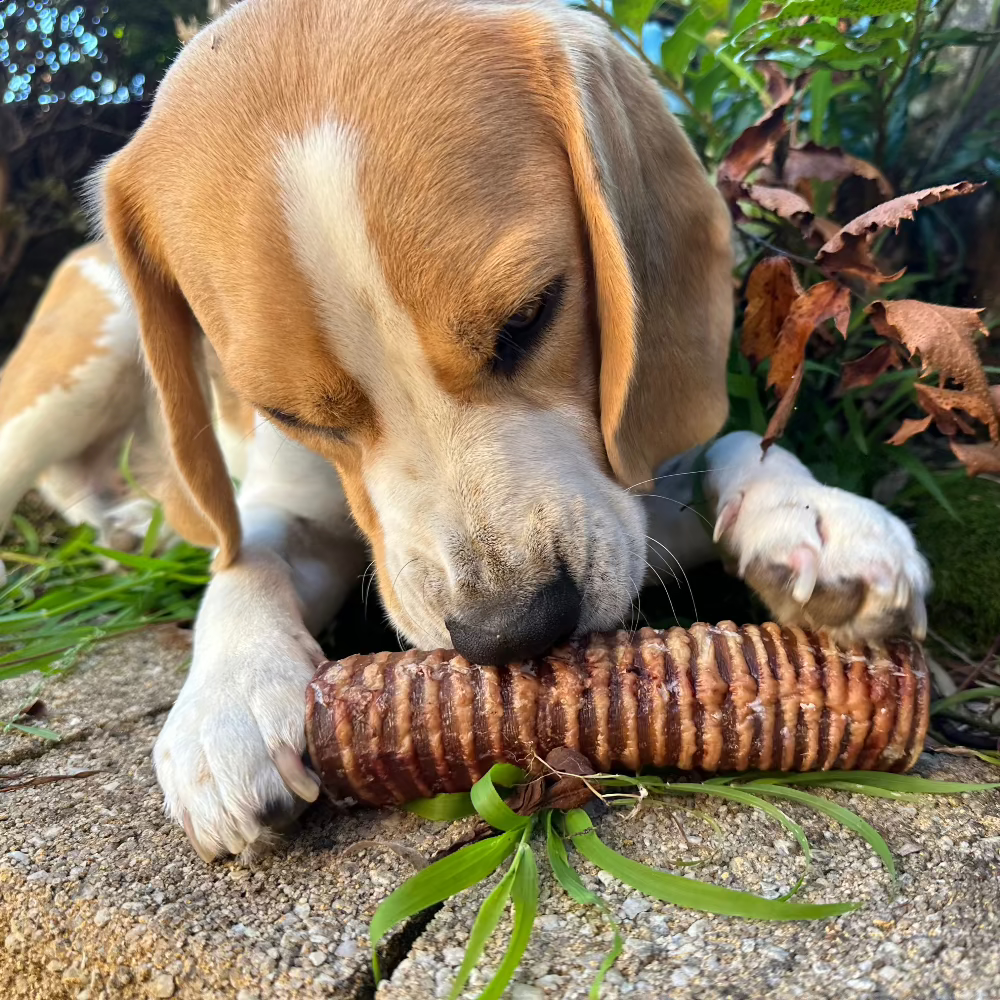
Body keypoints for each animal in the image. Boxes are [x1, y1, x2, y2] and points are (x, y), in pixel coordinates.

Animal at [0, 0, 928, 860]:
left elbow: (740, 446)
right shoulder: (284, 500)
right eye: (288, 413)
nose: (510, 634)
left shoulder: (642, 478)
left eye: (530, 317)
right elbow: (245, 556)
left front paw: (812, 518)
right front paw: (225, 703)